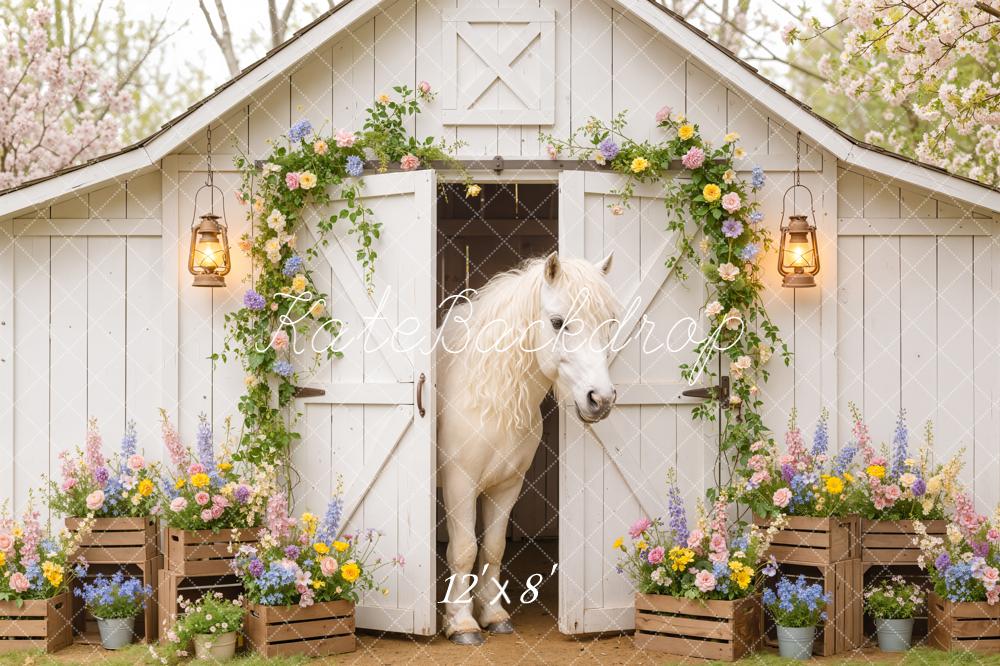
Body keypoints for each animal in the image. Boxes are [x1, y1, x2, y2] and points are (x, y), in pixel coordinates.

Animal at [436, 251, 619, 644]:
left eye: (609, 322)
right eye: (558, 322)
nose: (601, 399)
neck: (488, 397)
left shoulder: (507, 485)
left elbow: (493, 548)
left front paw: (493, 615)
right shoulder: (460, 483)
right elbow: (463, 549)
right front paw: (461, 623)